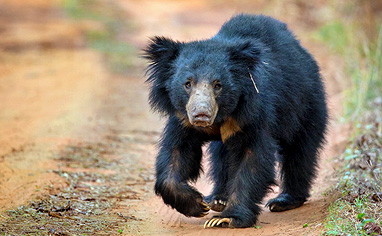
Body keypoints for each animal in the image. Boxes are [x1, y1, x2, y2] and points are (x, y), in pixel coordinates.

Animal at [143, 13, 328, 228]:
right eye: (187, 84)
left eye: (218, 85)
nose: (201, 114)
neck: (221, 115)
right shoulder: (183, 118)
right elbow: (177, 152)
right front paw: (197, 204)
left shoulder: (252, 114)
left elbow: (252, 159)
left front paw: (226, 218)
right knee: (221, 156)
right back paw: (217, 199)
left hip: (305, 105)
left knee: (299, 151)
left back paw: (285, 200)